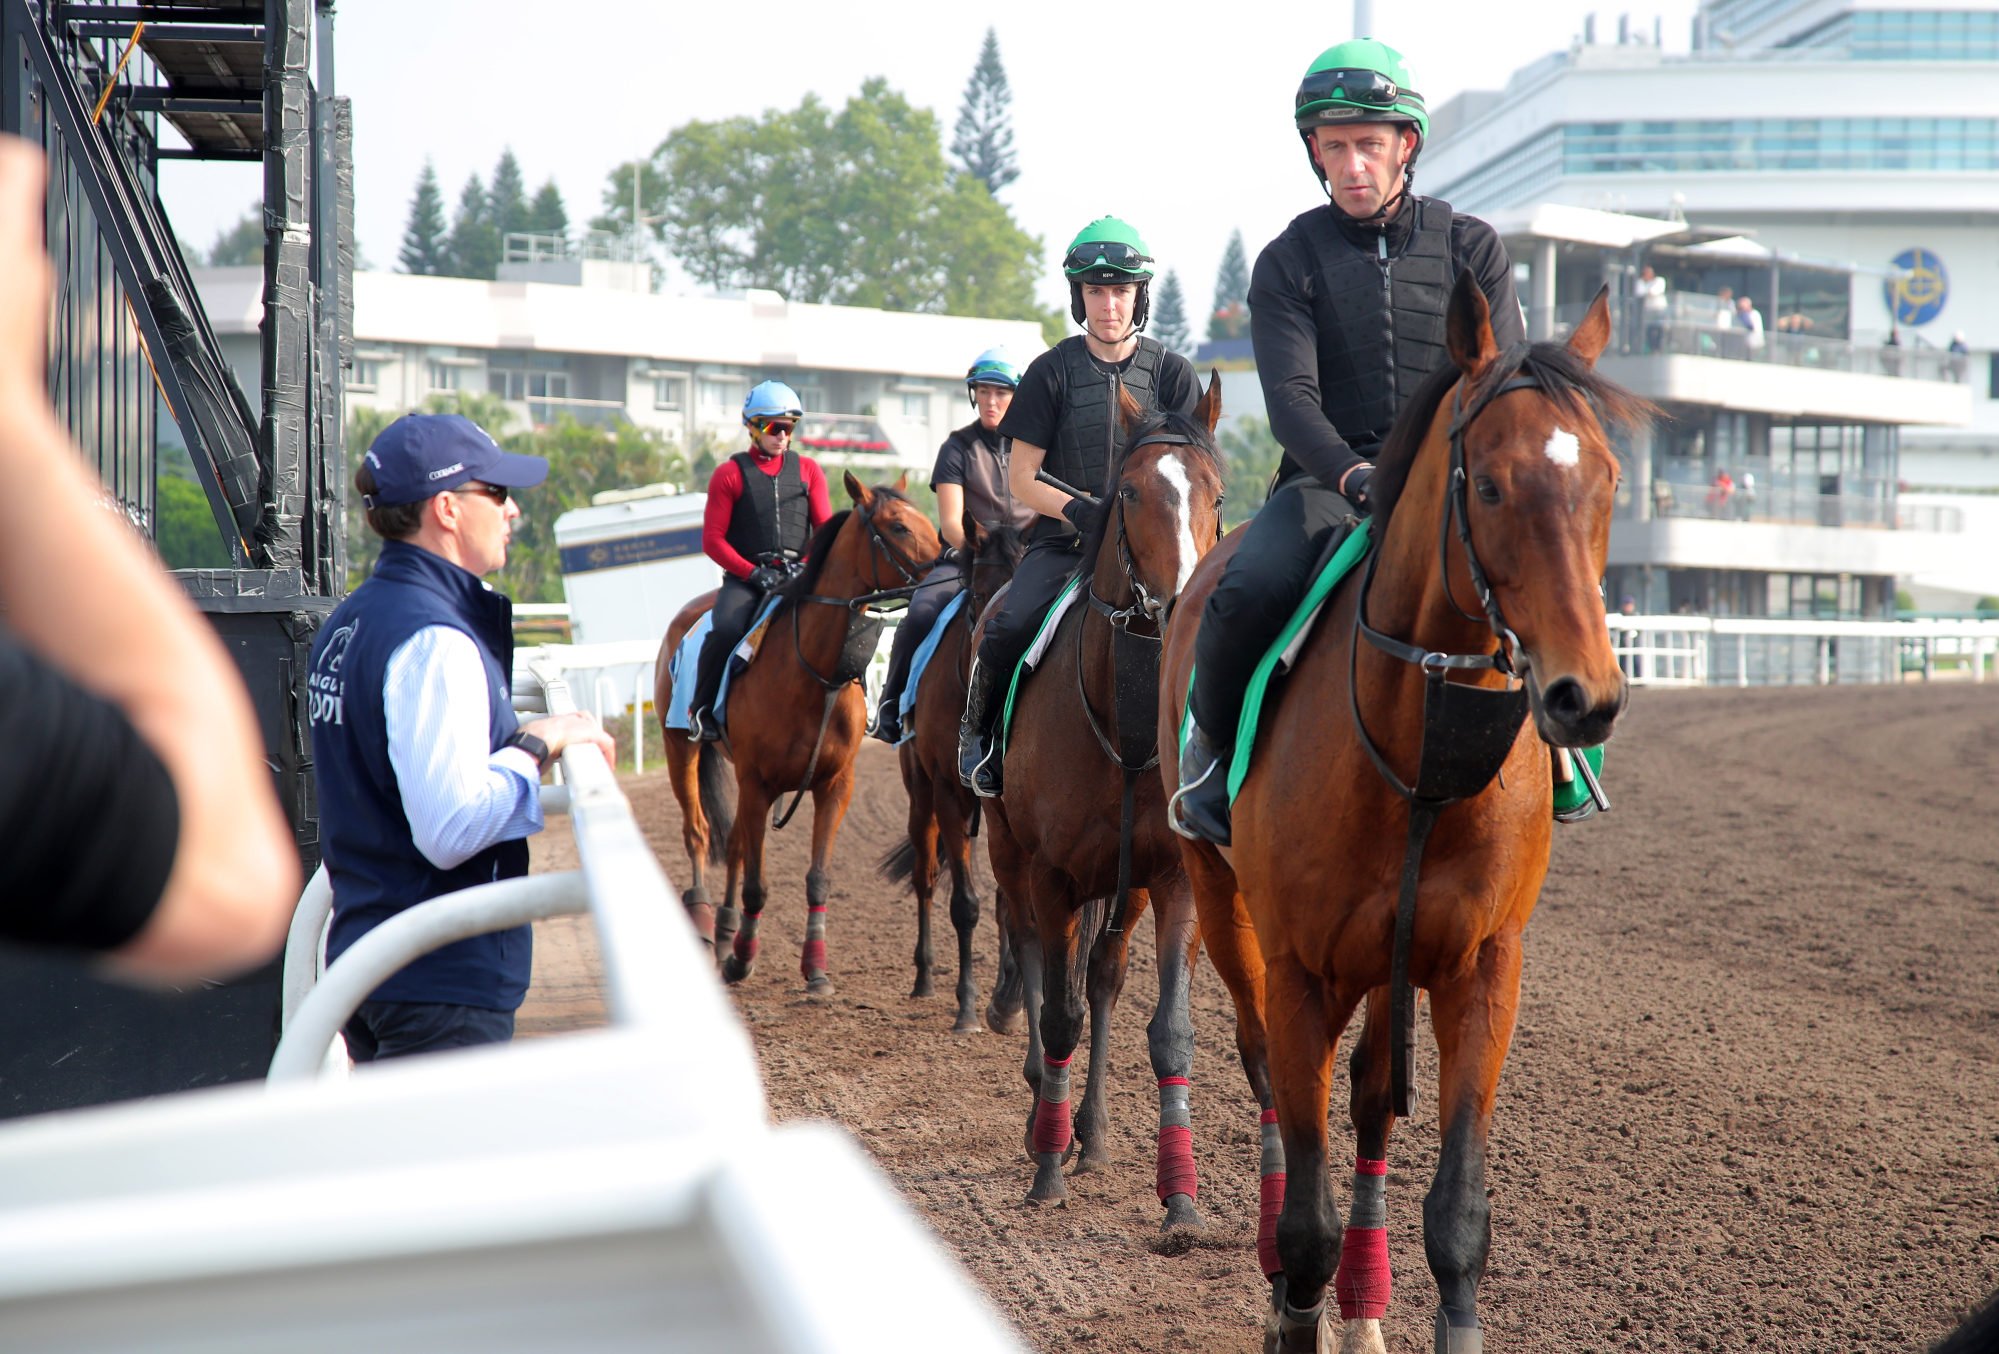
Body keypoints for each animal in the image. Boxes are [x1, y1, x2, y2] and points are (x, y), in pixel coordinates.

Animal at [651, 476, 939, 992]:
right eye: (900, 526)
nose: (953, 560)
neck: (814, 674)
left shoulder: (834, 785)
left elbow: (816, 876)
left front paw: (815, 969)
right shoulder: (757, 783)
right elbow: (757, 885)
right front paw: (743, 959)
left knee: (736, 843)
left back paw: (724, 931)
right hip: (678, 745)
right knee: (698, 831)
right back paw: (704, 919)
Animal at [879, 512, 1031, 1032]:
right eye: (981, 593)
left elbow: (1009, 903)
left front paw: (1012, 997)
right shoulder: (948, 793)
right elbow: (965, 905)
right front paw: (967, 1006)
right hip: (920, 796)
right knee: (925, 876)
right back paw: (924, 978)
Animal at [979, 370, 1223, 1224]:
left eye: (1215, 493)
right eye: (1128, 492)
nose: (1182, 605)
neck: (1125, 718)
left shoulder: (1173, 877)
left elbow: (1168, 1027)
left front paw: (1179, 1200)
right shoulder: (1051, 873)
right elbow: (1056, 1012)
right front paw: (1045, 1170)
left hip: (1123, 883)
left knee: (1104, 976)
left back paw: (1092, 1132)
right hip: (1007, 848)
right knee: (1028, 948)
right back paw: (1042, 1121)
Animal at [1159, 278, 1655, 1352]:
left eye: (1604, 480)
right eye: (1491, 487)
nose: (1584, 698)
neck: (1414, 758)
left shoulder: (1480, 966)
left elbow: (1456, 1210)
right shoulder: (1300, 972)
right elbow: (1304, 1217)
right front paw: (1291, 1310)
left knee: (1371, 1105)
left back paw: (1364, 1311)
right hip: (1223, 909)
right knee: (1264, 1074)